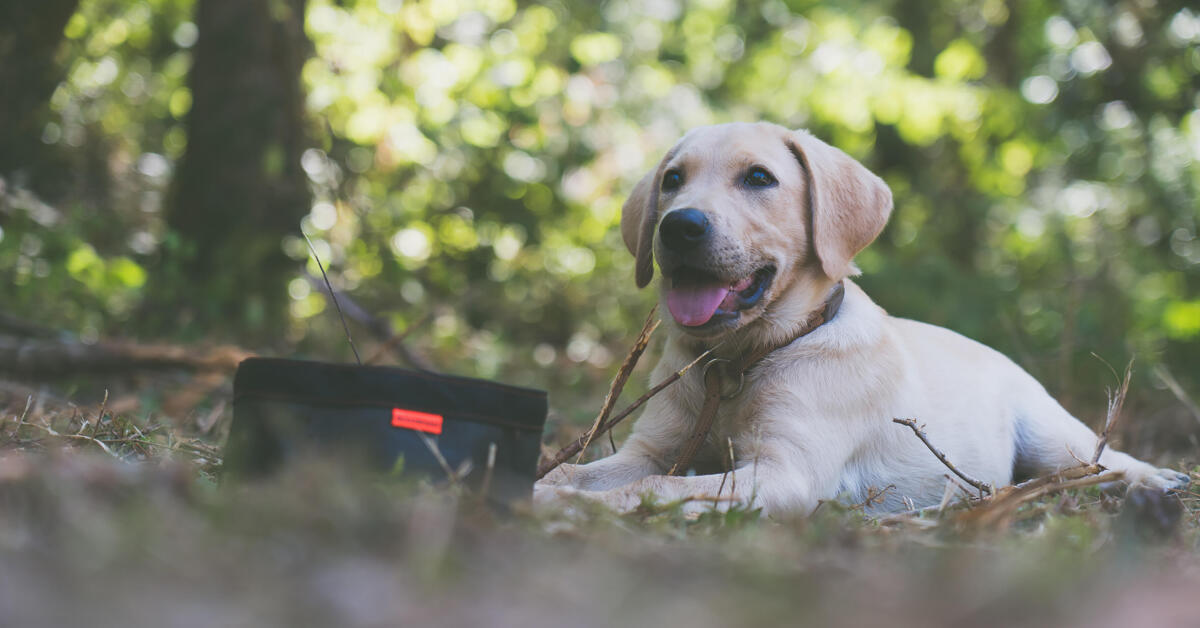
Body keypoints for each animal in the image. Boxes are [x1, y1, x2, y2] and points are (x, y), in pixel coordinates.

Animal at [537, 123, 1190, 516]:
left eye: (759, 178)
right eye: (672, 180)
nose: (679, 227)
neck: (740, 360)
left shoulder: (784, 473)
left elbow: (656, 488)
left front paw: (569, 508)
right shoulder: (652, 447)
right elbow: (584, 470)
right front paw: (542, 486)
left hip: (1053, 436)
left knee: (1103, 460)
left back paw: (1158, 480)